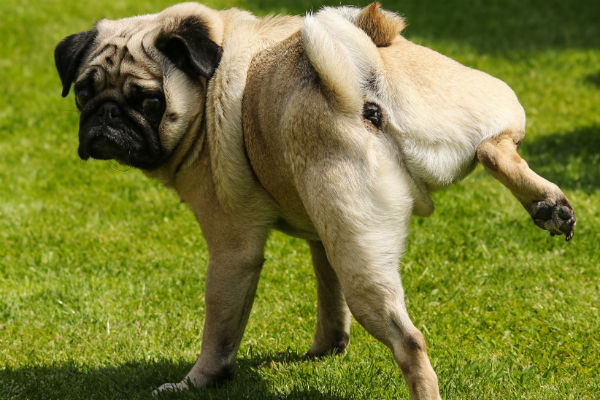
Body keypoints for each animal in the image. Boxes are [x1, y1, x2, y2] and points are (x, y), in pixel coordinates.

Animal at [56, 2, 576, 396]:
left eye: (149, 102)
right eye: (83, 92)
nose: (105, 116)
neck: (208, 86)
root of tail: (368, 95)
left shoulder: (232, 251)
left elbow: (220, 329)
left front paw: (196, 382)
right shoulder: (323, 234)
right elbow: (329, 296)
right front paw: (328, 347)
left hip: (362, 258)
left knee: (408, 341)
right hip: (455, 128)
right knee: (494, 145)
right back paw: (549, 206)